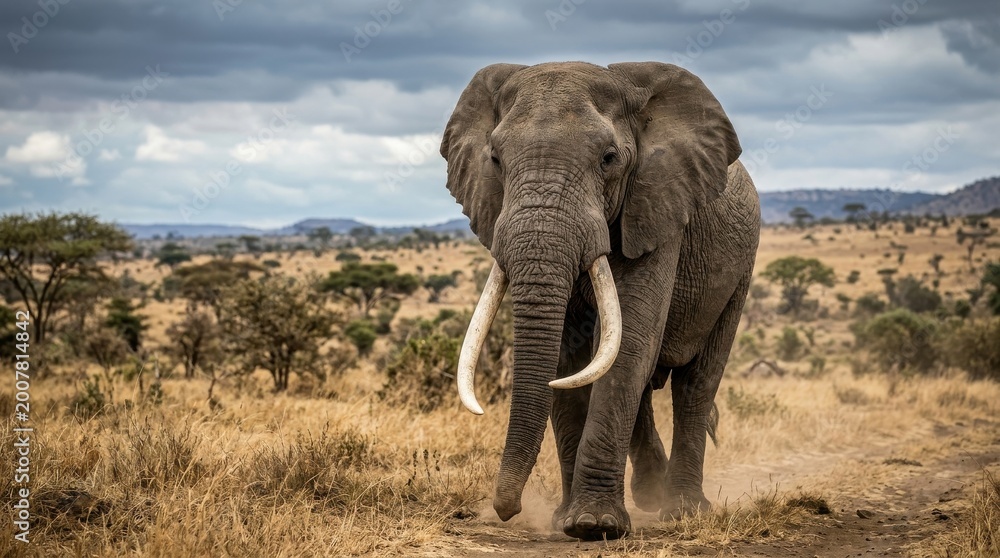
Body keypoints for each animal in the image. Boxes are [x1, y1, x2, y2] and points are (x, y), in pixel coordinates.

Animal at [441, 61, 760, 541]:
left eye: (609, 158)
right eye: (495, 158)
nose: (506, 510)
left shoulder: (656, 211)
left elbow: (629, 344)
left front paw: (595, 525)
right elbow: (569, 361)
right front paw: (565, 521)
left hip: (740, 271)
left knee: (697, 382)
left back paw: (682, 510)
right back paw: (650, 495)